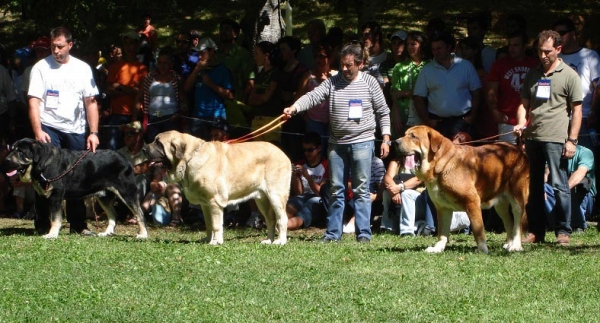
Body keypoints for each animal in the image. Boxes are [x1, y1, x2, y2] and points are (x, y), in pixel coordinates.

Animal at [2, 138, 148, 239]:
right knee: (113, 215)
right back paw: (107, 233)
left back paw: (143, 235)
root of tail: (125, 160)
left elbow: (55, 218)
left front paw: (52, 234)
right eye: (12, 149)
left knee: (139, 213)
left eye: (20, 152)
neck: (42, 165)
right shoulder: (43, 196)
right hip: (104, 197)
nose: (6, 160)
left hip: (127, 193)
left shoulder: (55, 197)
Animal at [396, 125, 528, 254]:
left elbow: (478, 230)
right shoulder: (443, 208)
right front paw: (438, 248)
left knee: (518, 224)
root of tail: (518, 149)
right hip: (500, 205)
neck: (441, 165)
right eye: (405, 134)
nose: (395, 142)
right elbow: (442, 232)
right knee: (509, 223)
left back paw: (516, 246)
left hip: (517, 199)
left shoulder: (472, 202)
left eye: (413, 136)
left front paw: (482, 249)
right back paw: (509, 244)